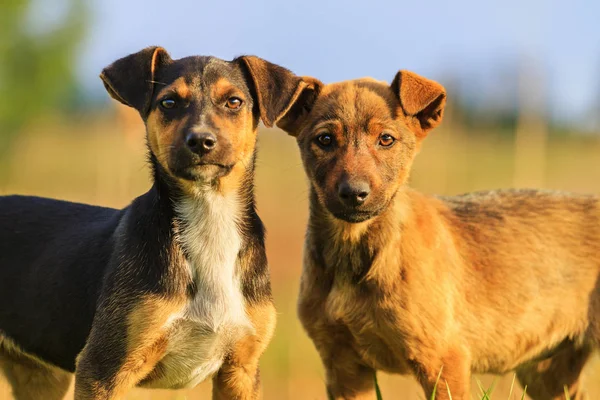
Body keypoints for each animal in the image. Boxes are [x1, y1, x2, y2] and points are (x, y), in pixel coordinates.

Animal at [0, 47, 310, 400]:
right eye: (169, 102)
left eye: (234, 102)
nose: (201, 141)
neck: (209, 216)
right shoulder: (103, 367)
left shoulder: (241, 370)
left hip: (40, 377)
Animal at [276, 70, 600, 398]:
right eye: (325, 139)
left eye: (386, 139)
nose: (354, 193)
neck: (357, 251)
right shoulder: (343, 366)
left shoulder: (442, 359)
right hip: (549, 372)